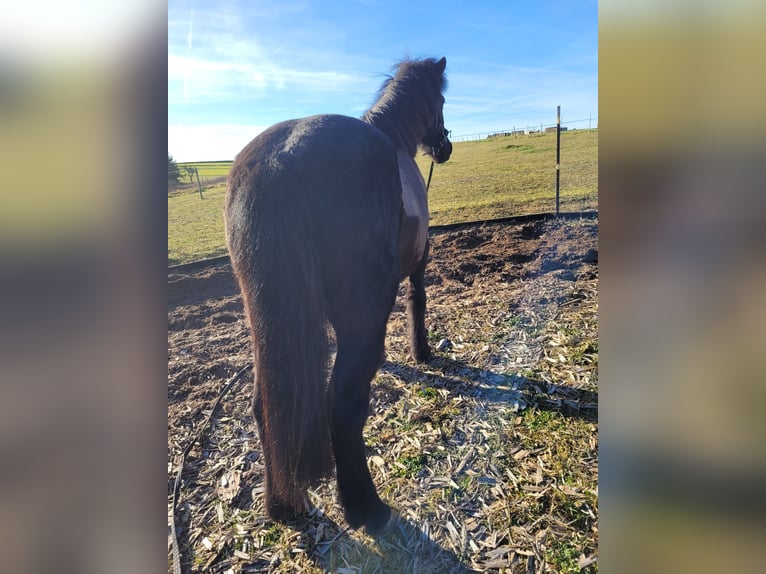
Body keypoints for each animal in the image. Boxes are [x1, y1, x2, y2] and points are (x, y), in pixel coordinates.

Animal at [224, 57, 451, 535]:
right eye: (440, 102)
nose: (445, 146)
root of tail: (280, 161)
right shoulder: (419, 261)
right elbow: (418, 301)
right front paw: (422, 351)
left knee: (264, 406)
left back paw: (284, 507)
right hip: (361, 313)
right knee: (344, 403)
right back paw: (366, 507)